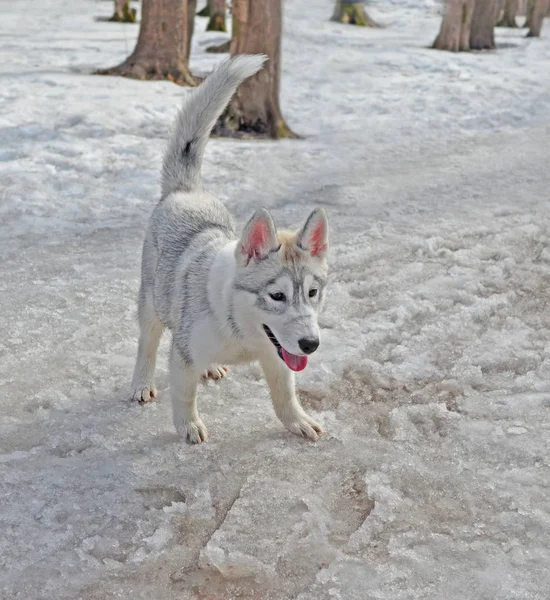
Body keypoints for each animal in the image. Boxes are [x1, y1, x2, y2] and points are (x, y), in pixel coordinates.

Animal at [132, 55, 330, 440]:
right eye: (277, 296)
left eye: (313, 293)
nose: (310, 344)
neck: (240, 330)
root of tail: (187, 190)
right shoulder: (184, 353)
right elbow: (185, 393)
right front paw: (189, 426)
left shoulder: (278, 355)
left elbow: (285, 394)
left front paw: (298, 421)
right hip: (151, 302)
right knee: (147, 343)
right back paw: (141, 384)